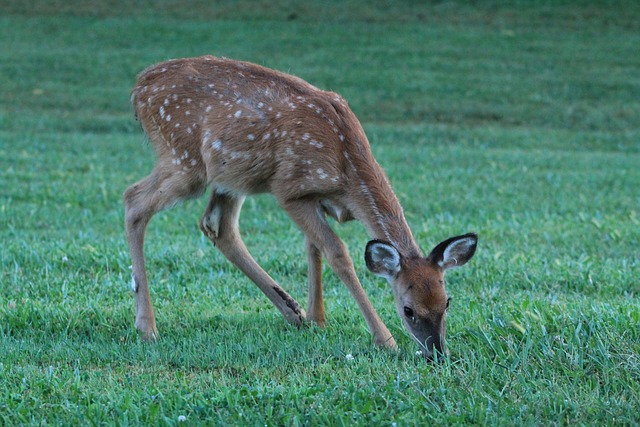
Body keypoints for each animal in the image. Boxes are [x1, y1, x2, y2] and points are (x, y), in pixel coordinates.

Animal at [126, 54, 476, 362]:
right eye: (408, 309)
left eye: (446, 302)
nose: (436, 353)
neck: (346, 167)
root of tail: (138, 87)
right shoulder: (288, 190)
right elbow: (338, 253)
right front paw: (385, 339)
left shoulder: (314, 196)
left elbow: (313, 248)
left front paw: (317, 317)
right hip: (186, 159)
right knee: (133, 199)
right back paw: (147, 327)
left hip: (231, 176)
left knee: (217, 226)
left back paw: (293, 311)